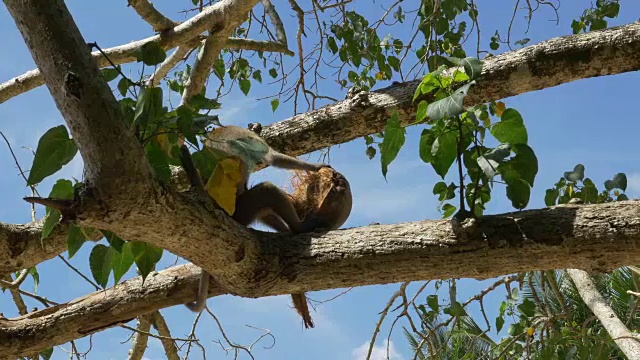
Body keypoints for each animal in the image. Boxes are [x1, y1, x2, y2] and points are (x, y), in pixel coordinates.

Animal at [184, 125, 330, 314]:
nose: (257, 126)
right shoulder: (246, 138)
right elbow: (272, 158)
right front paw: (314, 167)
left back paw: (289, 230)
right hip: (239, 212)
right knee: (266, 190)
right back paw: (299, 227)